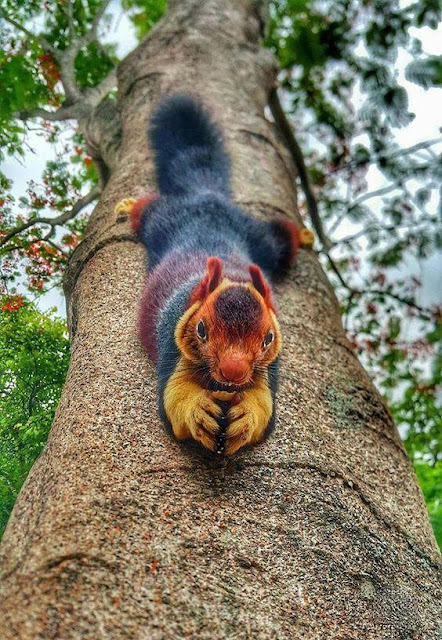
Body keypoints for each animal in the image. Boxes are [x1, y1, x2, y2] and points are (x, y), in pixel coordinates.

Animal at [116, 95, 310, 456]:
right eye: (201, 329)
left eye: (268, 338)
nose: (233, 372)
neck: (234, 278)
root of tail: (208, 197)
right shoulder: (171, 339)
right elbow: (173, 395)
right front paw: (197, 411)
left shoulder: (270, 366)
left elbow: (264, 404)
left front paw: (247, 415)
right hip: (165, 219)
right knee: (149, 210)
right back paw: (131, 205)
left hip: (261, 239)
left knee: (280, 239)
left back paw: (303, 235)